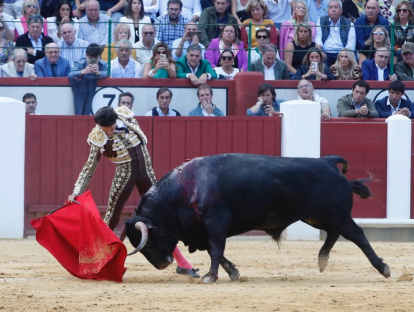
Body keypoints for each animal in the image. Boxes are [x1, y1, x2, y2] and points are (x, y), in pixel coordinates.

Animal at [124, 154, 390, 282]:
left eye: (151, 241)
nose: (163, 264)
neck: (185, 188)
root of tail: (328, 162)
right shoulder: (203, 229)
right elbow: (215, 251)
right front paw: (232, 272)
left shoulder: (215, 222)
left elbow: (215, 249)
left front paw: (211, 276)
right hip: (318, 216)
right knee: (335, 233)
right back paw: (322, 260)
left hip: (336, 215)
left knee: (357, 235)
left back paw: (383, 268)